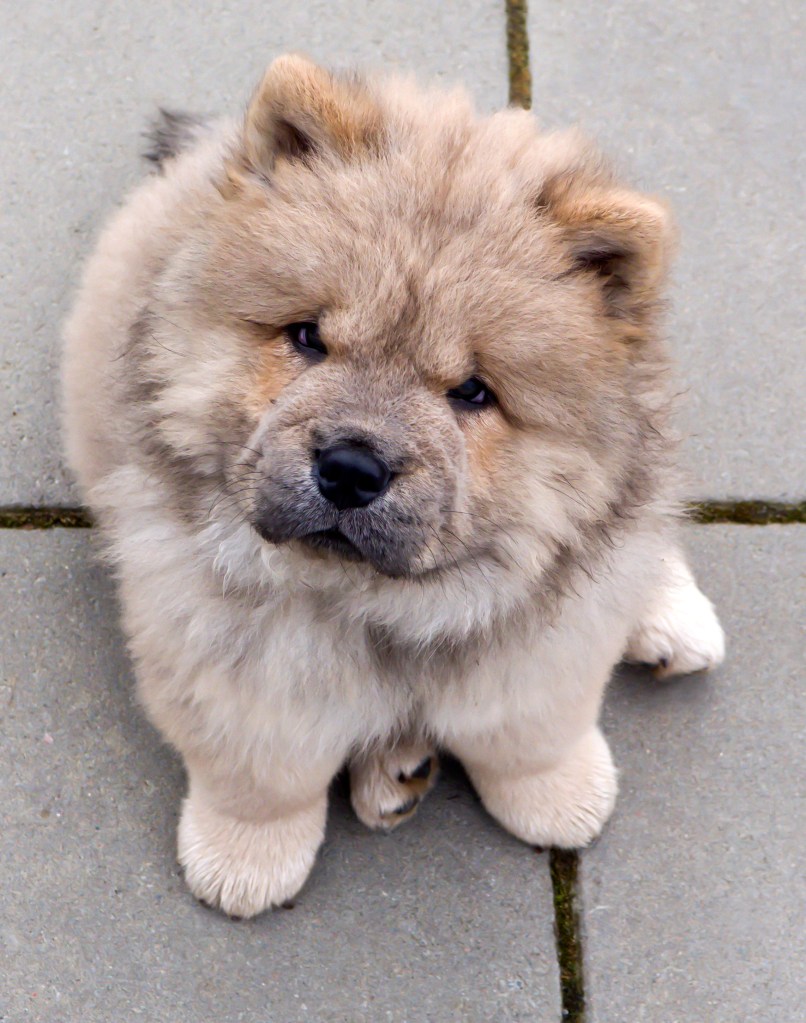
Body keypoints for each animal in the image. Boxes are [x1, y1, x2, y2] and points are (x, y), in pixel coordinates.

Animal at [62, 53, 724, 920]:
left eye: (472, 392)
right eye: (307, 337)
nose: (350, 467)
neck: (384, 603)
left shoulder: (546, 633)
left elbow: (532, 725)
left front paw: (563, 796)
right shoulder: (219, 638)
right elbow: (261, 770)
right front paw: (245, 861)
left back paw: (673, 618)